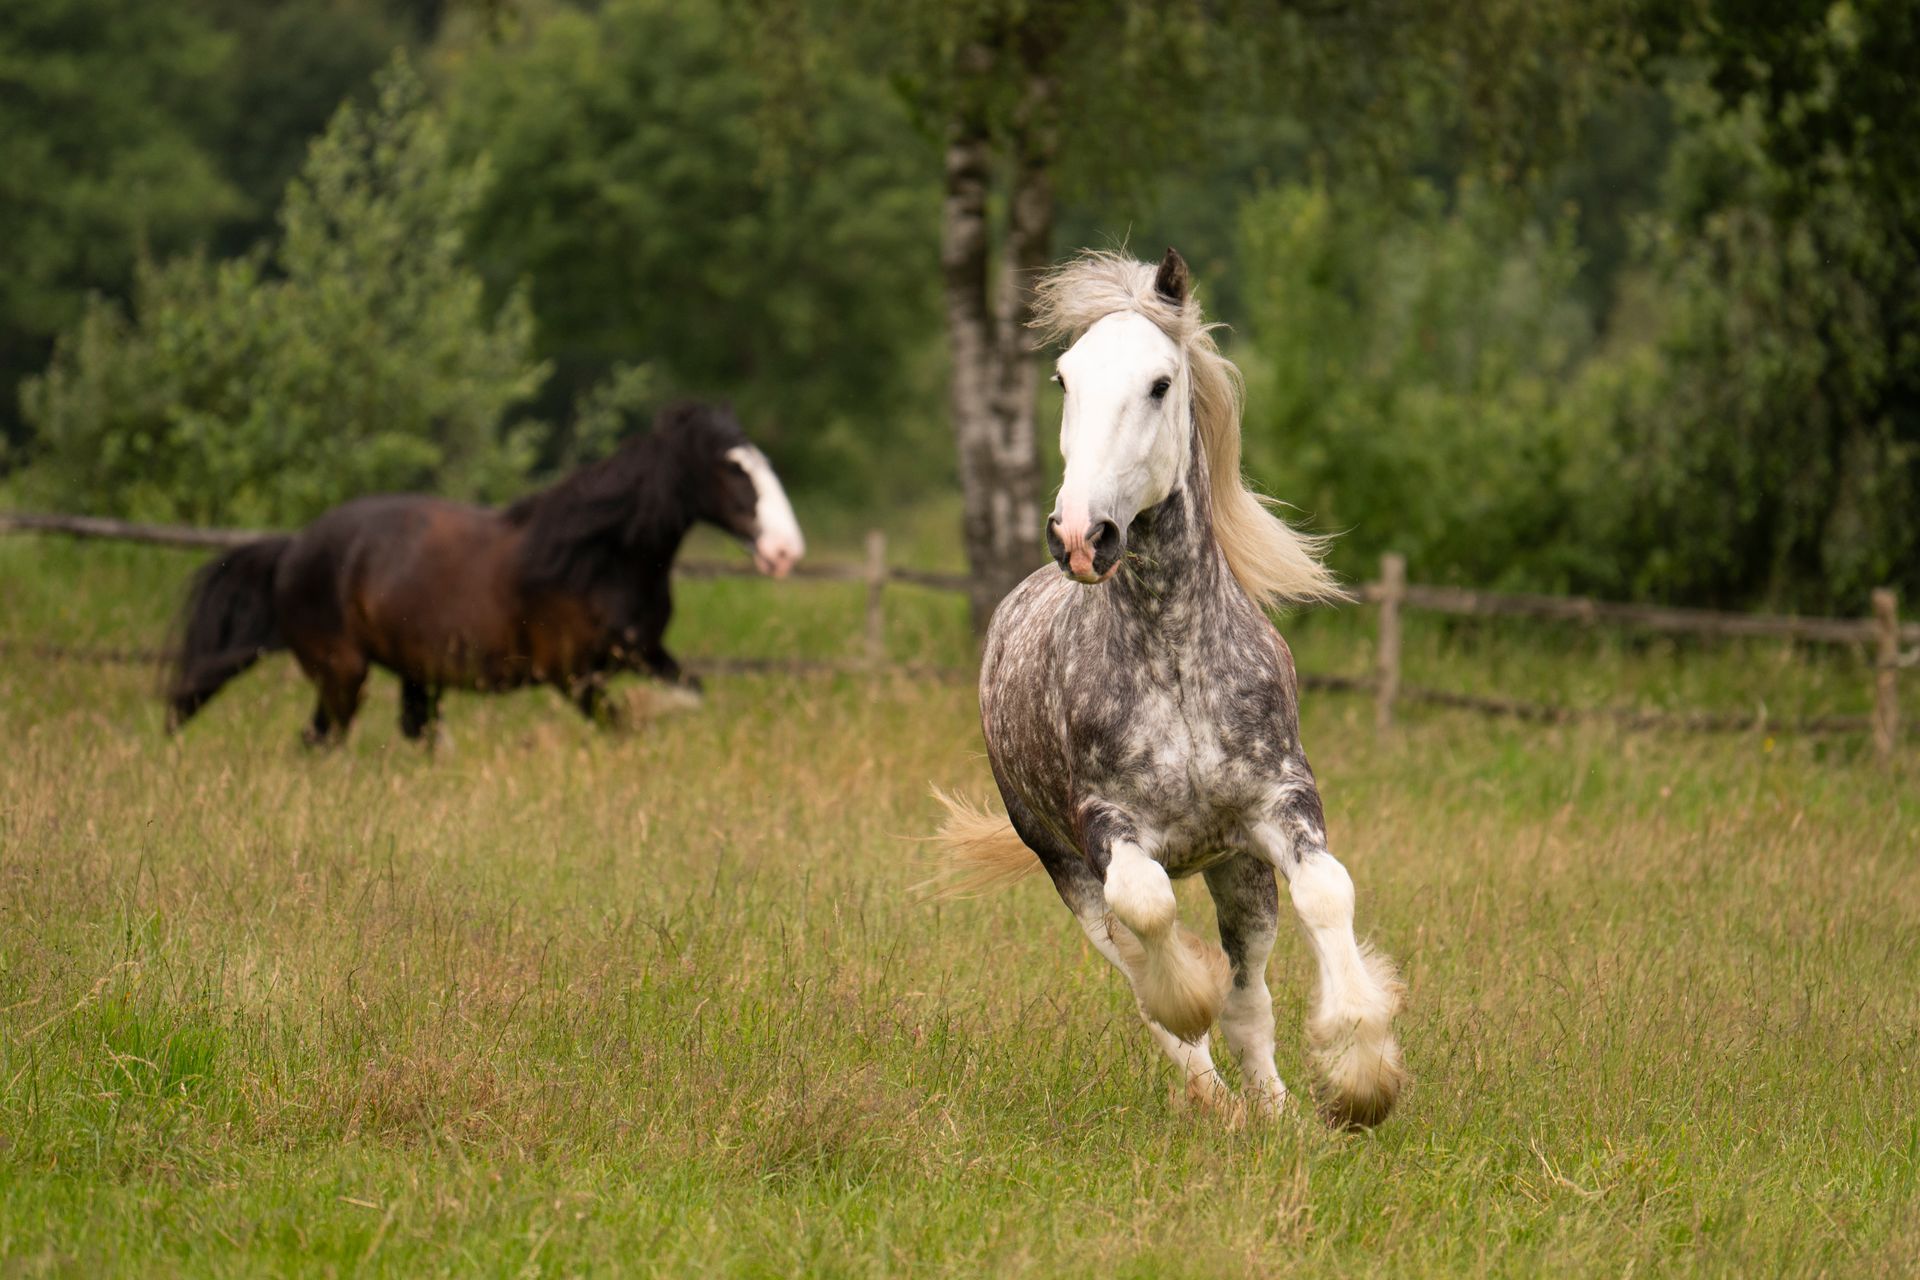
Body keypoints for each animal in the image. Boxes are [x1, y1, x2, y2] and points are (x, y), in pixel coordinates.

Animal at [165, 400, 805, 744]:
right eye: (733, 468)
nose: (786, 552)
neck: (597, 557)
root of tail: (294, 548)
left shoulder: (643, 653)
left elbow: (689, 695)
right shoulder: (573, 675)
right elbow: (624, 725)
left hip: (410, 671)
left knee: (407, 730)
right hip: (341, 671)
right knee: (323, 738)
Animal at [934, 248, 1406, 1127]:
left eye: (1159, 383)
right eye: (1063, 379)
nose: (1079, 535)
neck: (1176, 657)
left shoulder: (1278, 806)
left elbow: (1327, 895)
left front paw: (1361, 1077)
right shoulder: (1105, 827)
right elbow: (1150, 919)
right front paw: (1192, 999)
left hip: (1236, 868)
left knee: (1253, 994)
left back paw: (1273, 1110)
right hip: (1062, 863)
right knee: (1132, 961)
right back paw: (1212, 1092)